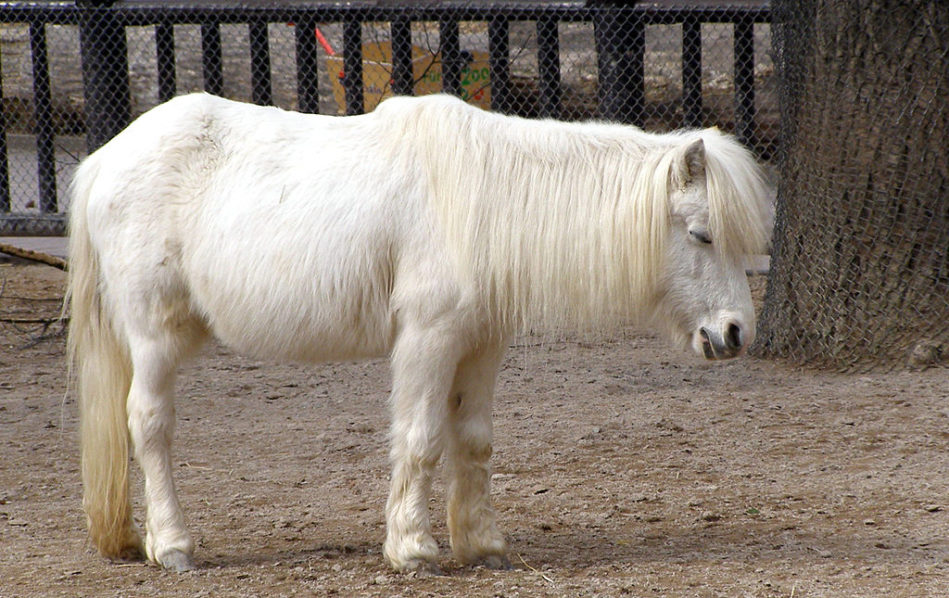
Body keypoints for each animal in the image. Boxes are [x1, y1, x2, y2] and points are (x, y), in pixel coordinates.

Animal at [66, 92, 772, 573]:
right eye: (701, 234)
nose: (736, 332)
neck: (489, 198)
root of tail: (105, 160)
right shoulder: (429, 340)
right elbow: (422, 438)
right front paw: (412, 547)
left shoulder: (482, 343)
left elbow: (474, 440)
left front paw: (482, 543)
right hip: (155, 337)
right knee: (148, 425)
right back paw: (173, 544)